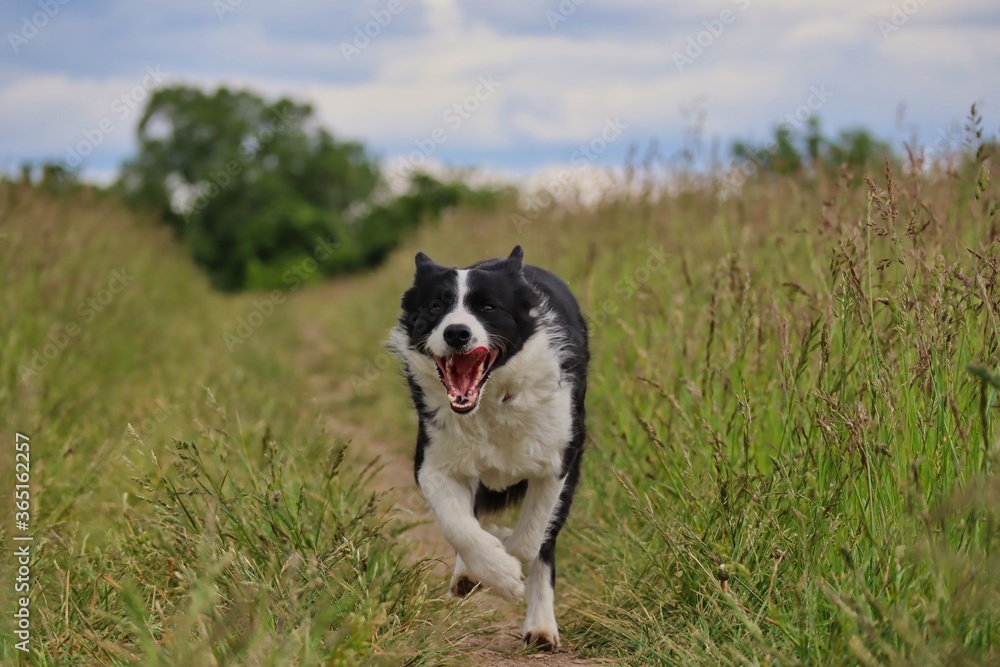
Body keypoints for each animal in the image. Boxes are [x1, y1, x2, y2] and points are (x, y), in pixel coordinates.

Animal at [384, 248, 584, 648]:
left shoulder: (559, 459)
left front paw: (508, 559)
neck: (489, 403)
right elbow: (458, 525)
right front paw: (499, 572)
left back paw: (541, 627)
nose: (456, 332)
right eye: (435, 306)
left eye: (488, 307)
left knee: (544, 544)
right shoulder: (432, 461)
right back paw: (470, 572)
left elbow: (532, 537)